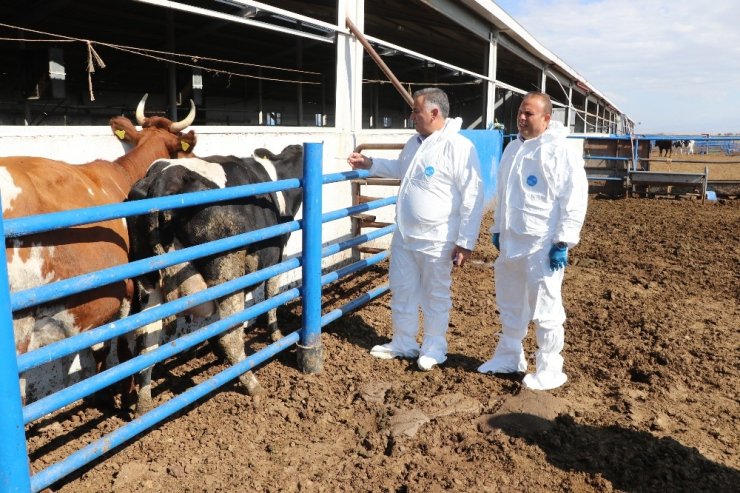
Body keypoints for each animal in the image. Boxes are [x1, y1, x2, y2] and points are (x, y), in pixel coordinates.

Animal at [0, 93, 197, 404]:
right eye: (181, 149)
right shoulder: (130, 288)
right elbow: (125, 346)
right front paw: (125, 393)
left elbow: (100, 348)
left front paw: (103, 392)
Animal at [125, 144, 302, 414]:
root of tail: (162, 178)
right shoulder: (278, 256)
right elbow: (270, 298)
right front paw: (276, 335)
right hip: (225, 265)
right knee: (229, 335)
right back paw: (253, 385)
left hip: (147, 280)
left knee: (147, 343)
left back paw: (144, 407)